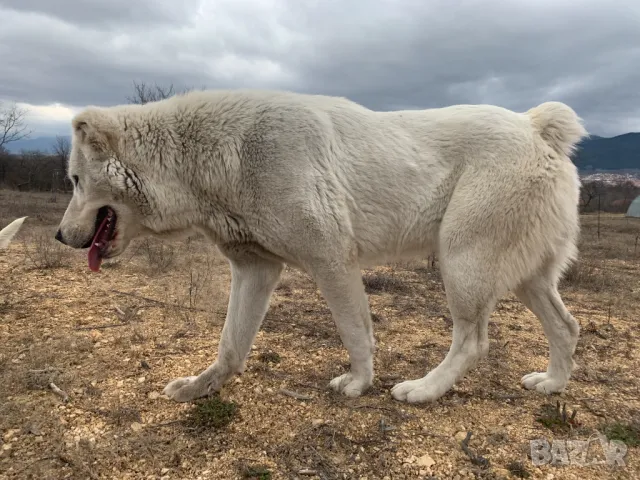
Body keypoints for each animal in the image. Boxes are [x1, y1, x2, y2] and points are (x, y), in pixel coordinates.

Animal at [56, 88, 592, 404]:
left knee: (473, 341)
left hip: (463, 263)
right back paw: (552, 383)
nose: (60, 236)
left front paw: (358, 384)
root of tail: (535, 127)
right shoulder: (254, 270)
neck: (214, 155)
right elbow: (231, 345)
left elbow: (355, 334)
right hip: (525, 277)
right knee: (566, 328)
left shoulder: (331, 261)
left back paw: (423, 390)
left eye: (76, 181)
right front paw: (200, 388)